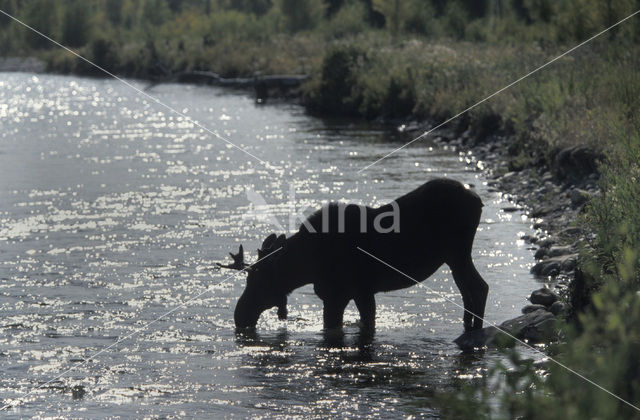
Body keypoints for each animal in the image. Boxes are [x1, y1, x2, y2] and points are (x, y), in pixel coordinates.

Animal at [218, 179, 488, 334]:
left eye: (258, 281)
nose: (239, 316)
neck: (306, 267)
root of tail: (479, 201)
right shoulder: (347, 295)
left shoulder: (347, 293)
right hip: (454, 257)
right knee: (468, 290)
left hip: (458, 252)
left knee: (479, 287)